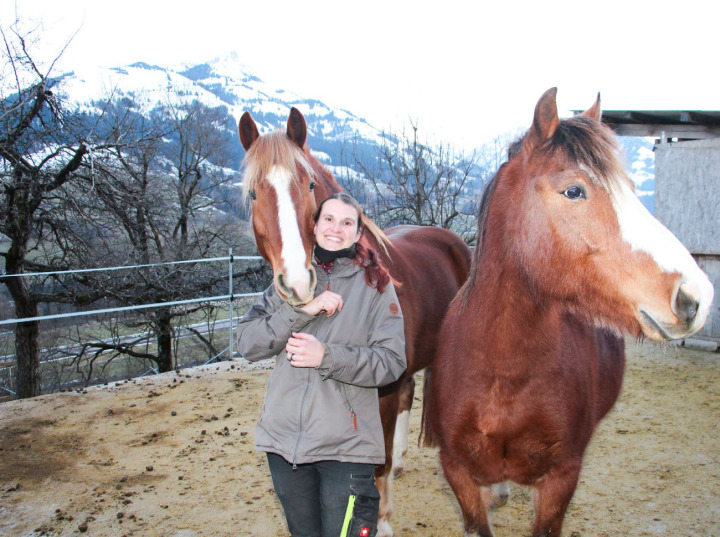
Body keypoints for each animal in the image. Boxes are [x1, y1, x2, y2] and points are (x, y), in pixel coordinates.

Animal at [238, 107, 472, 532]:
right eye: (253, 193)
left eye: (310, 185)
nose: (297, 281)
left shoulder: (382, 389)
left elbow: (375, 464)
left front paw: (381, 522)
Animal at [428, 88, 716, 536]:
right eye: (574, 191)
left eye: (631, 188)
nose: (695, 296)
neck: (503, 374)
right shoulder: (457, 472)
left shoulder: (561, 479)